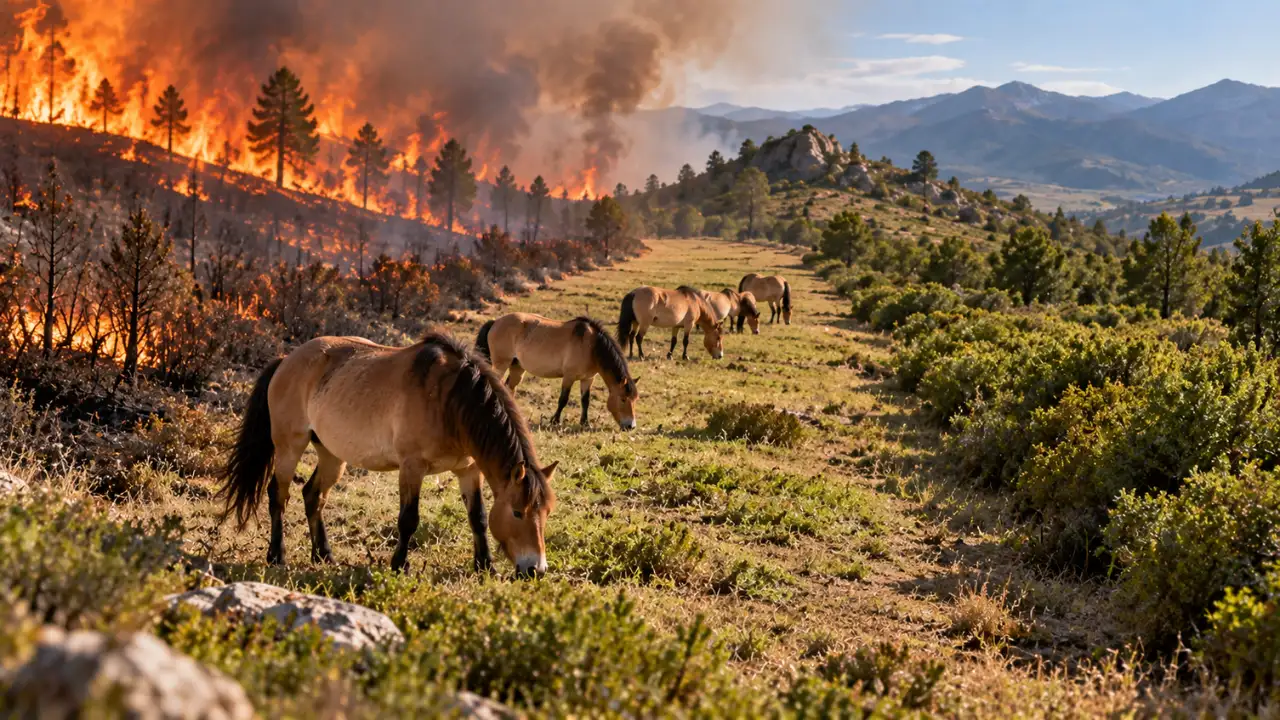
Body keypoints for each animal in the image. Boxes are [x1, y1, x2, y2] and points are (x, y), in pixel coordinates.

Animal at [218, 332, 558, 577]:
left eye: (546, 512)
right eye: (518, 512)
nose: (536, 570)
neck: (449, 400)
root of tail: (286, 359)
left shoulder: (469, 470)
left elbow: (479, 518)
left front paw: (485, 565)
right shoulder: (412, 467)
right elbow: (408, 519)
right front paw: (400, 565)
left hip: (331, 454)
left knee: (313, 495)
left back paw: (323, 554)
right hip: (290, 446)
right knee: (279, 495)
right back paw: (277, 555)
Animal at [475, 314, 639, 430]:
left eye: (635, 399)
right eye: (623, 399)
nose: (630, 426)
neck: (591, 346)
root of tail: (496, 322)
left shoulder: (587, 379)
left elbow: (585, 400)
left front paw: (585, 423)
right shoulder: (569, 376)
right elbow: (563, 399)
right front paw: (555, 420)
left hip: (517, 367)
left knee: (509, 388)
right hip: (500, 364)